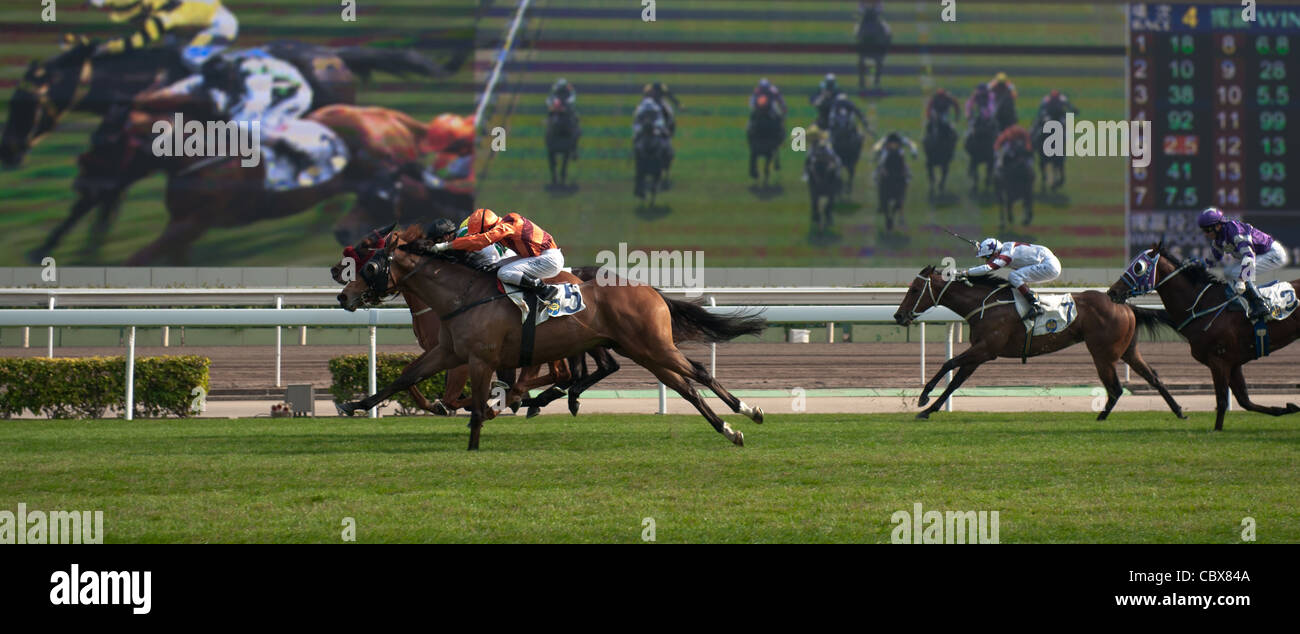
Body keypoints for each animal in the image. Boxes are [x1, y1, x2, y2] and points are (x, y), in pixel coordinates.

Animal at [335, 224, 764, 449]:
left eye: (369, 264)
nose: (343, 295)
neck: (462, 295)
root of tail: (651, 291)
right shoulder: (448, 352)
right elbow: (406, 377)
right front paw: (354, 405)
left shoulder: (480, 359)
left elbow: (474, 404)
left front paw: (476, 439)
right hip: (643, 351)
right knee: (685, 388)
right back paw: (729, 430)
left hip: (653, 346)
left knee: (698, 373)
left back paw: (748, 411)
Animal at [894, 263, 1190, 420]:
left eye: (915, 290)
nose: (898, 315)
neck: (984, 304)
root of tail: (1126, 305)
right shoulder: (978, 353)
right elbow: (955, 381)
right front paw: (929, 409)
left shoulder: (985, 350)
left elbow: (948, 365)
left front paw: (922, 398)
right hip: (1128, 350)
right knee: (1153, 377)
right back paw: (1178, 410)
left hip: (1103, 353)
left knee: (1116, 388)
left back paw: (1102, 416)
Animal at [1107, 244, 1300, 431]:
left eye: (1138, 267)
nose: (1112, 291)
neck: (1202, 305)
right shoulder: (1233, 363)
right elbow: (1244, 401)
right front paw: (1286, 408)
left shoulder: (1219, 360)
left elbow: (1222, 401)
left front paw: (1216, 431)